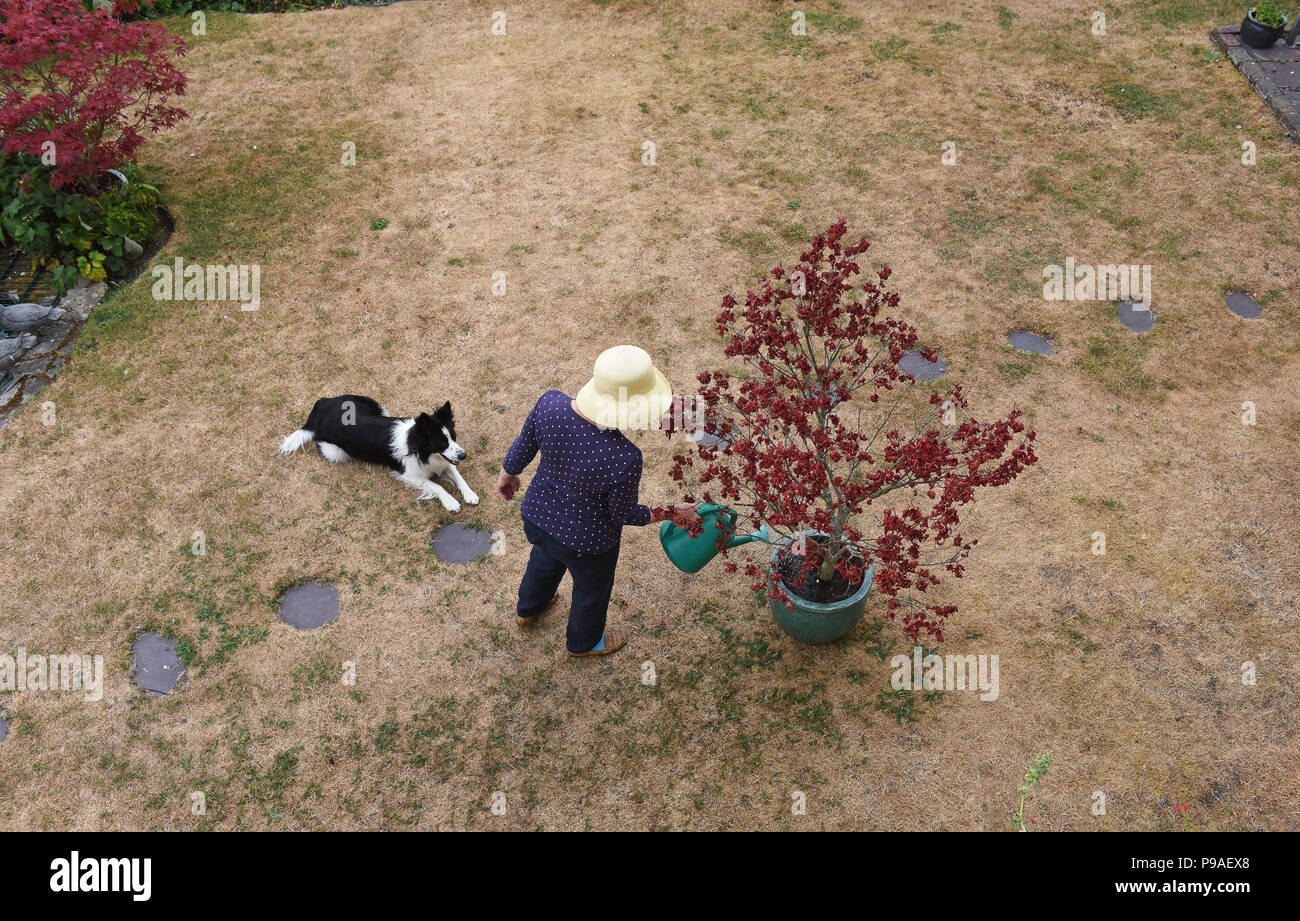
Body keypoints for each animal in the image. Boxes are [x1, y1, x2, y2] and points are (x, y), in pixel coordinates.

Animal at [276, 392, 480, 515]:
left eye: (454, 437)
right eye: (442, 443)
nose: (464, 456)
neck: (419, 448)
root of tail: (322, 405)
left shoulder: (445, 462)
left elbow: (458, 476)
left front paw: (470, 494)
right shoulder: (408, 474)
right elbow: (436, 486)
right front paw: (451, 502)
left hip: (375, 404)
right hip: (335, 452)